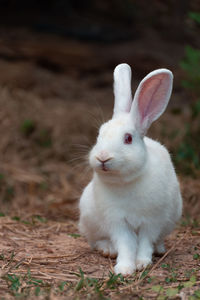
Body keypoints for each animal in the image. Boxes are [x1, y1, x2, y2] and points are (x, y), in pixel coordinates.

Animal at [79, 63, 182, 276]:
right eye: (99, 135)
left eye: (128, 138)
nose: (103, 157)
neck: (126, 182)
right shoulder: (117, 222)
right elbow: (126, 245)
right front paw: (124, 269)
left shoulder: (151, 221)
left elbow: (144, 243)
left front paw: (142, 263)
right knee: (96, 240)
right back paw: (107, 249)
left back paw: (159, 249)